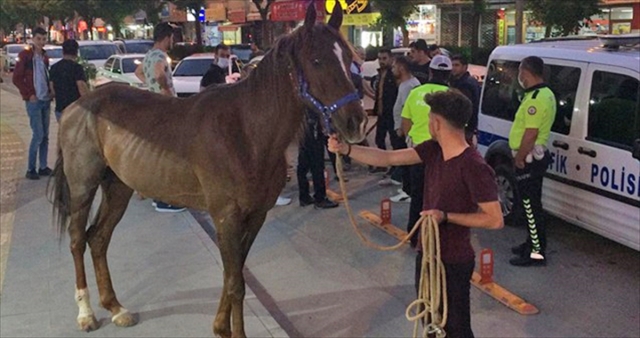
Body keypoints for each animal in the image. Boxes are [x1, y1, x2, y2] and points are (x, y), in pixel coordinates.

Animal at [50, 3, 364, 338]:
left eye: (348, 59)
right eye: (317, 60)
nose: (356, 122)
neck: (246, 132)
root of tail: (76, 107)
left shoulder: (255, 216)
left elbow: (233, 275)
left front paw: (220, 327)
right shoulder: (226, 217)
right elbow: (237, 283)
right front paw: (232, 331)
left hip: (119, 187)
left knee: (98, 239)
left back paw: (116, 308)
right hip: (83, 187)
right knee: (77, 240)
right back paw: (85, 313)